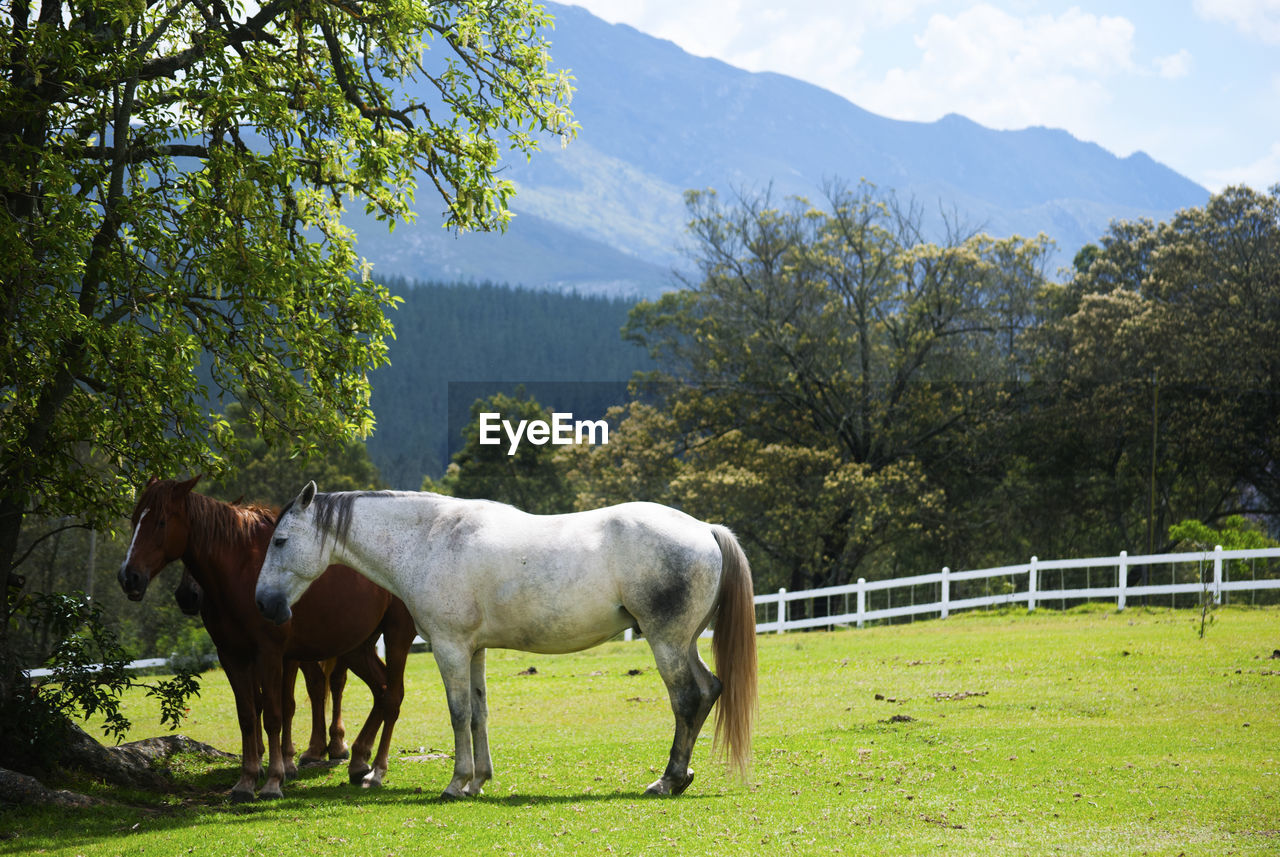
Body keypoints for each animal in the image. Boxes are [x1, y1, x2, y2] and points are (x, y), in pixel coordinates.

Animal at [118, 480, 412, 803]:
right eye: (134, 519)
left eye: (160, 521)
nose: (129, 577)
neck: (241, 569)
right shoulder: (232, 655)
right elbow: (249, 714)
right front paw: (246, 781)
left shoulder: (272, 653)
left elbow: (275, 713)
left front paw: (274, 779)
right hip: (357, 646)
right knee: (380, 690)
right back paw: (359, 760)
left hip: (396, 636)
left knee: (392, 695)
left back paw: (374, 769)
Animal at [253, 486, 752, 803]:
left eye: (280, 541)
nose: (264, 604)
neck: (430, 540)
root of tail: (704, 529)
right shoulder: (474, 651)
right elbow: (479, 713)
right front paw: (478, 781)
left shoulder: (450, 648)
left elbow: (458, 714)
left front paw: (455, 784)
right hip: (685, 642)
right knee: (709, 690)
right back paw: (681, 776)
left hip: (667, 642)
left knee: (687, 698)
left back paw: (668, 781)